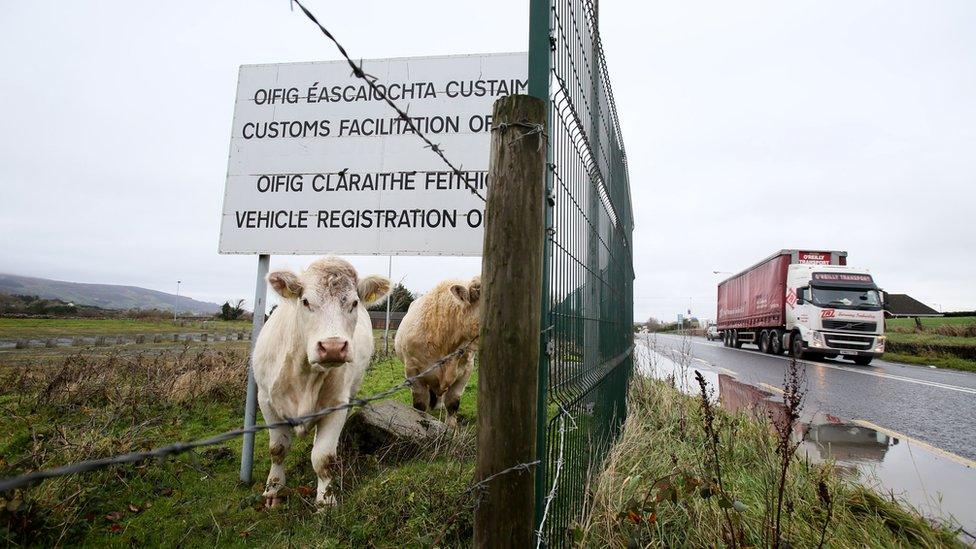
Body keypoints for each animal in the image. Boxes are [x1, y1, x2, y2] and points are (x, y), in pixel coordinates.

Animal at [254, 256, 390, 506]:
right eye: (305, 301)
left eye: (354, 303)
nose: (333, 347)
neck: (305, 374)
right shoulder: (266, 401)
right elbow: (277, 449)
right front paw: (273, 491)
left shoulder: (336, 405)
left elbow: (323, 458)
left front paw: (326, 502)